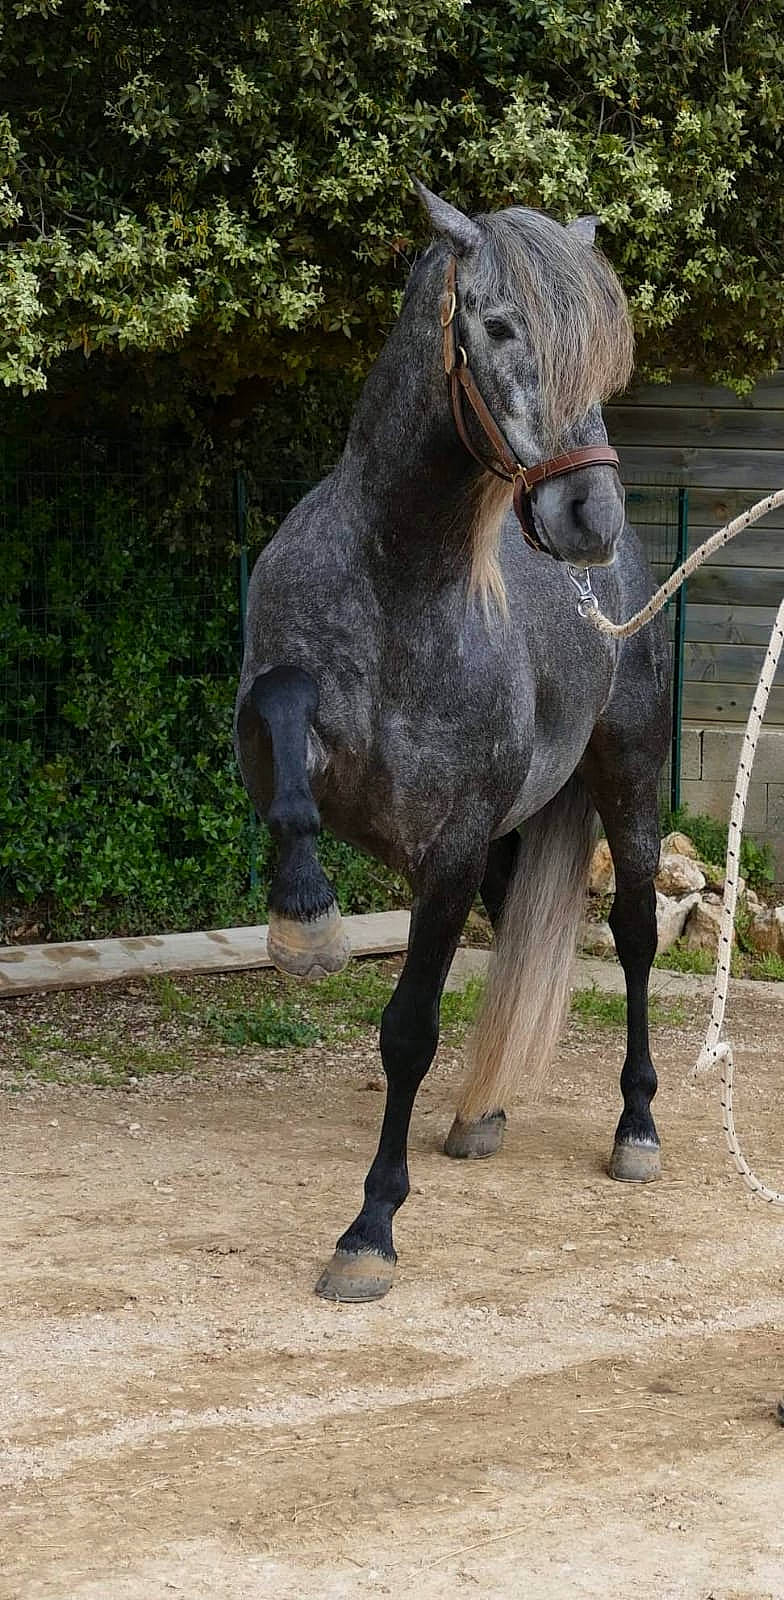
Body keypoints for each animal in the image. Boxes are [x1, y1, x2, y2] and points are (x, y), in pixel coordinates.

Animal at [235, 182, 671, 1302]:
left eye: (604, 357)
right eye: (500, 326)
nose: (589, 514)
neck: (401, 582)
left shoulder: (450, 850)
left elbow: (408, 1031)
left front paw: (369, 1231)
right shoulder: (272, 740)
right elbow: (284, 733)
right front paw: (305, 923)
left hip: (629, 790)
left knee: (637, 938)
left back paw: (636, 1129)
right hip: (516, 844)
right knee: (521, 929)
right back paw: (484, 1110)